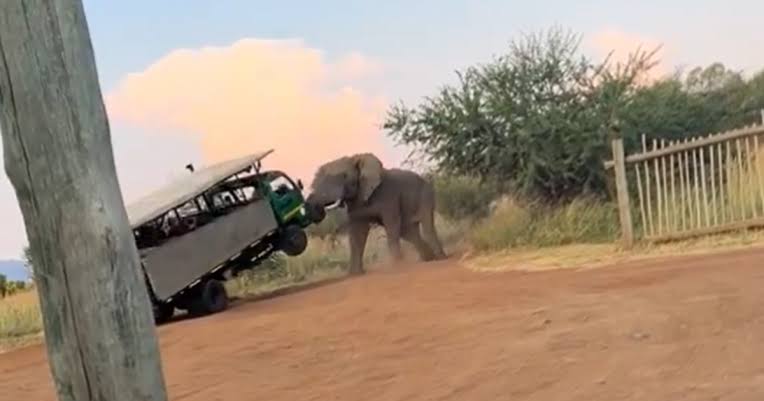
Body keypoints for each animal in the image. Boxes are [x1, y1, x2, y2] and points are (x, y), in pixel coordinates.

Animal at [306, 152, 448, 274]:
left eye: (345, 176)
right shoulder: (356, 203)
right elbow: (357, 234)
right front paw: (355, 274)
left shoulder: (389, 196)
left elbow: (391, 224)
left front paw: (398, 265)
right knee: (408, 231)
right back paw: (428, 259)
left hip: (425, 194)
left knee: (426, 225)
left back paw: (440, 258)